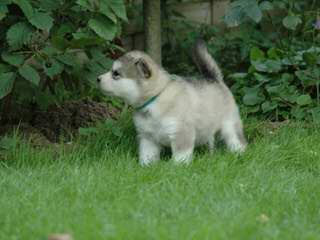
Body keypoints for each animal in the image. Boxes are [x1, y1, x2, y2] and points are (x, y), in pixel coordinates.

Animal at [97, 40, 248, 166]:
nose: (98, 78)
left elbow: (180, 156)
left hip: (230, 124)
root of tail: (214, 79)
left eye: (116, 74)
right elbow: (147, 155)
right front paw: (146, 167)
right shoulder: (147, 138)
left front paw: (176, 168)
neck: (155, 98)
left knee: (237, 140)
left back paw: (239, 154)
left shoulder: (181, 133)